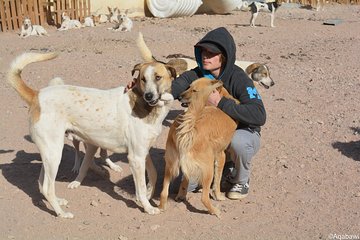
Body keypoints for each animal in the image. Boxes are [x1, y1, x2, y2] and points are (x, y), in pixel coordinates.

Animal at [7, 47, 176, 218]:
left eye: (158, 77)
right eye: (143, 79)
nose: (149, 96)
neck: (143, 105)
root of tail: (36, 95)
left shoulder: (143, 152)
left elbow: (153, 174)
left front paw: (149, 193)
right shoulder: (135, 157)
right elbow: (140, 187)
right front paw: (147, 207)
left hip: (49, 152)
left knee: (42, 184)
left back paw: (59, 201)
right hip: (54, 152)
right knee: (48, 187)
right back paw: (62, 213)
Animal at [160, 77, 239, 218]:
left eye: (194, 90)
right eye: (189, 86)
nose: (179, 97)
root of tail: (188, 129)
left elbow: (185, 180)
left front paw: (181, 195)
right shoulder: (221, 155)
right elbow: (217, 181)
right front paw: (218, 196)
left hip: (170, 165)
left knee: (164, 191)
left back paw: (161, 207)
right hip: (208, 168)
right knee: (204, 198)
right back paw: (214, 211)